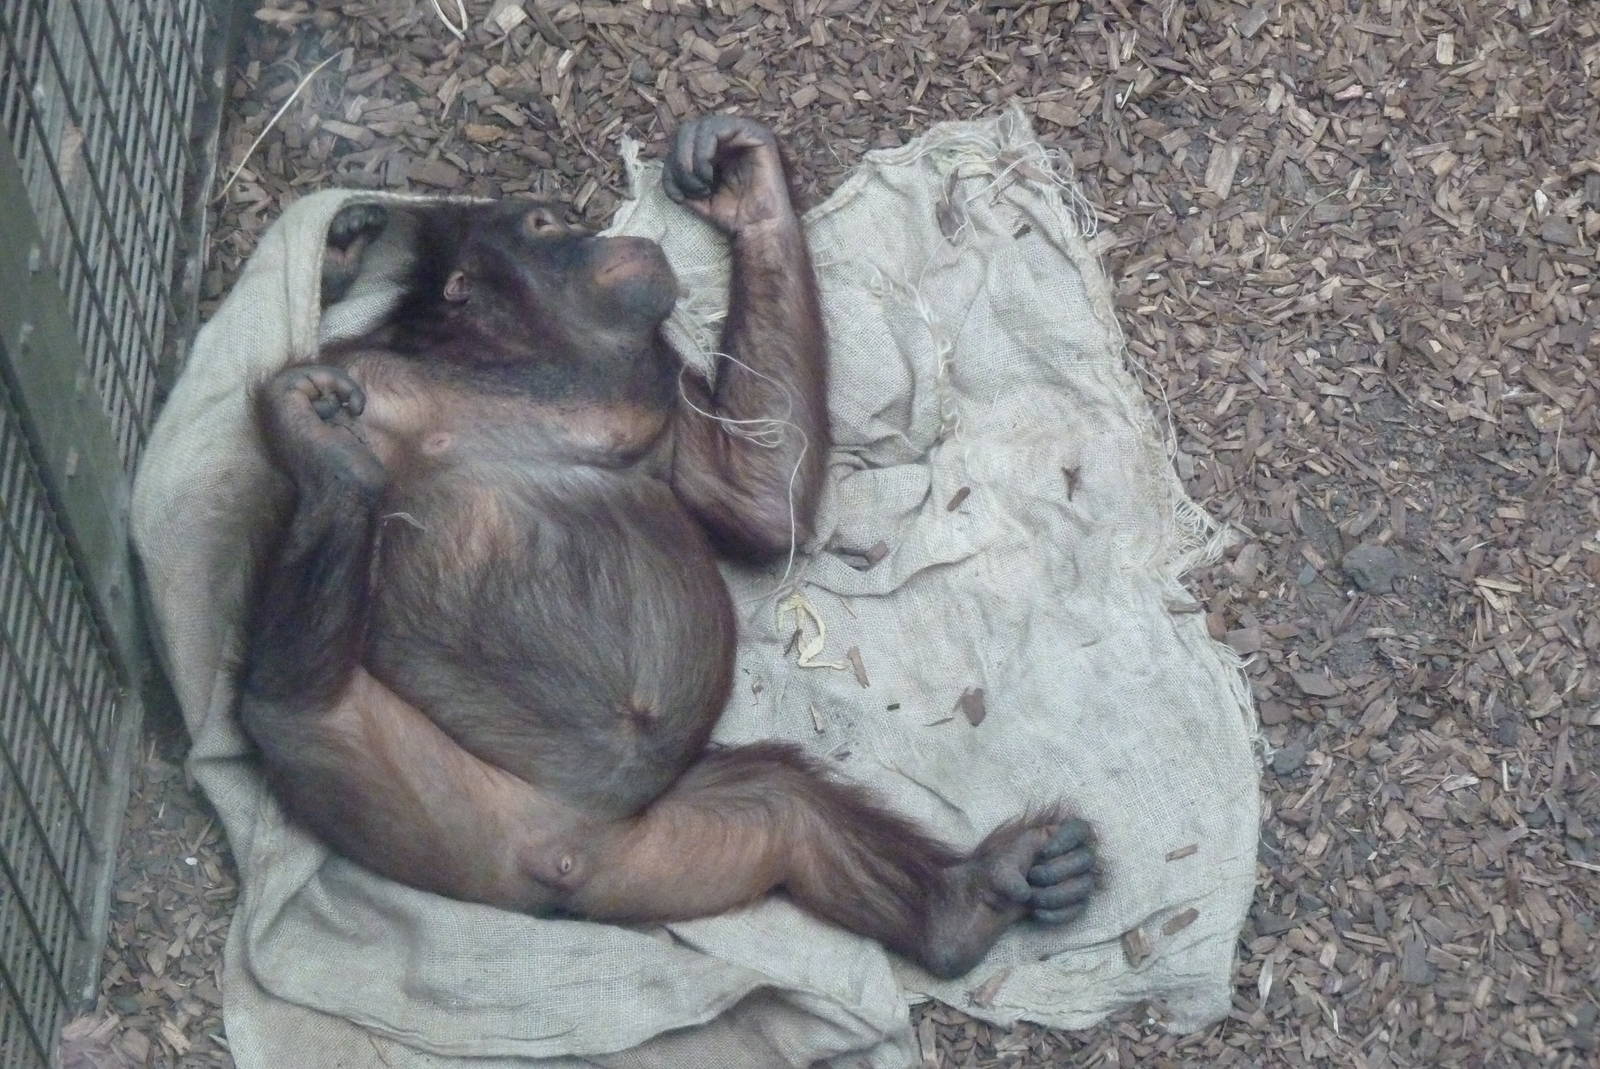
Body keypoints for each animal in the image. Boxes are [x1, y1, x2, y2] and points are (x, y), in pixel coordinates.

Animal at [238, 115, 1096, 981]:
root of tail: (564, 861)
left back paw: (974, 897)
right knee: (295, 707)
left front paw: (744, 181)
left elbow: (760, 496)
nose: (589, 235)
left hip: (663, 852)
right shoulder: (366, 376)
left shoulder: (663, 390)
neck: (519, 369)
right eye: (543, 227)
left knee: (784, 804)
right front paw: (316, 399)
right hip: (432, 812)